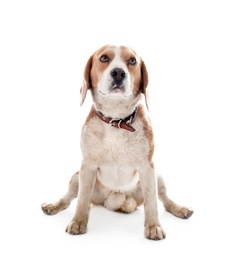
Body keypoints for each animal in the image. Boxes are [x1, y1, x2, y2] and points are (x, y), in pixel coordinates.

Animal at [41, 44, 194, 240]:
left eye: (132, 61)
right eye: (104, 58)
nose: (119, 73)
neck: (117, 120)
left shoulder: (147, 168)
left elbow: (152, 203)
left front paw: (153, 226)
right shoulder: (87, 166)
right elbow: (82, 200)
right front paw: (78, 221)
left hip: (157, 177)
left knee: (165, 201)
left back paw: (180, 209)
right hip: (77, 177)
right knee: (68, 199)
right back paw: (54, 205)